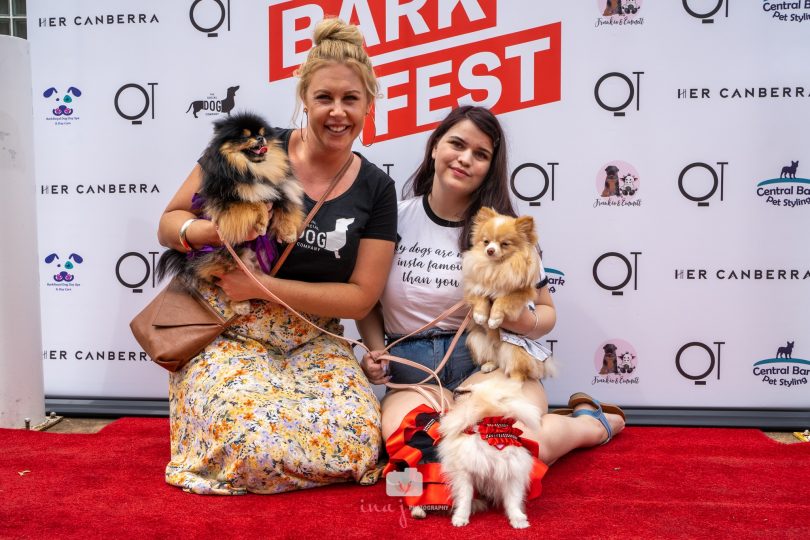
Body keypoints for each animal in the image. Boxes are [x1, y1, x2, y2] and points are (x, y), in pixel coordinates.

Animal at [438, 376, 540, 528]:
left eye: (468, 391)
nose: (455, 390)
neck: (487, 431)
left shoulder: (511, 472)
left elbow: (513, 499)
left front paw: (517, 518)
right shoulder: (464, 472)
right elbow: (465, 497)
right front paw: (460, 518)